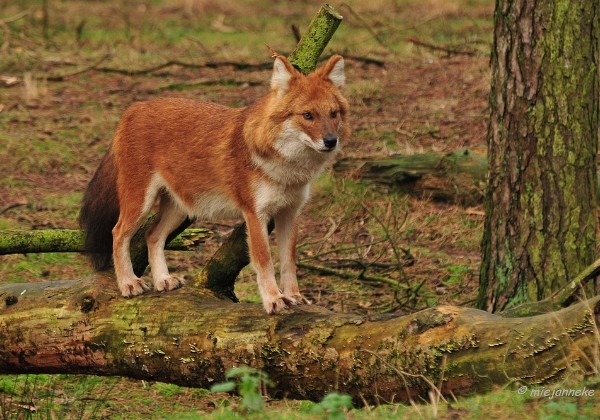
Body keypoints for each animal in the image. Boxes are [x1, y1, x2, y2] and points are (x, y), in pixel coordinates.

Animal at [80, 54, 352, 314]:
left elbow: (289, 260)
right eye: (308, 115)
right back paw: (128, 282)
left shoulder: (290, 213)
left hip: (180, 209)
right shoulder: (255, 215)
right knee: (118, 233)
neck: (288, 169)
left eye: (333, 113)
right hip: (140, 202)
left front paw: (294, 296)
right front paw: (274, 300)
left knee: (152, 234)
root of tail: (135, 107)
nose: (331, 141)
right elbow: (264, 260)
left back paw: (163, 279)